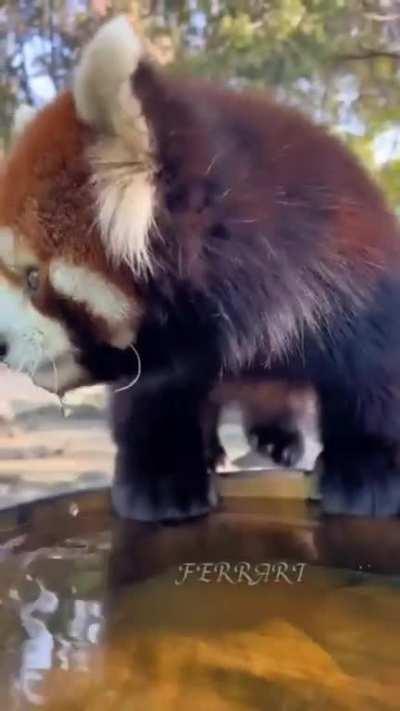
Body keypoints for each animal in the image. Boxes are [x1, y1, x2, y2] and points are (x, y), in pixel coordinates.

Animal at [1, 16, 400, 521]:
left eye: (33, 279)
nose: (0, 345)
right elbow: (151, 397)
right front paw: (162, 478)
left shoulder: (352, 267)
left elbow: (372, 372)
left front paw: (366, 468)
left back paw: (279, 436)